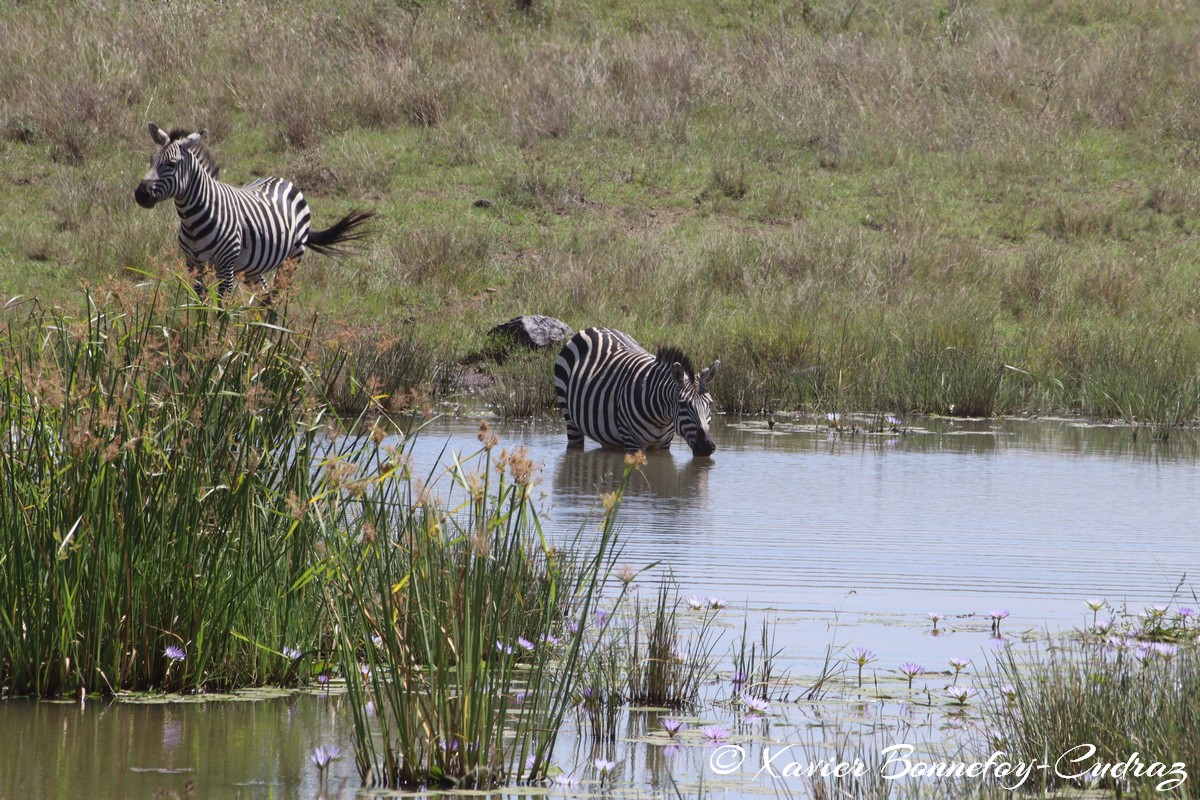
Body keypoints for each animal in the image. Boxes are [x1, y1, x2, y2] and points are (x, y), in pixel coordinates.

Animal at [134, 124, 373, 297]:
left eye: (172, 164)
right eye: (151, 160)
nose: (141, 194)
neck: (192, 220)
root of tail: (284, 180)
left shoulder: (226, 265)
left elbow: (221, 309)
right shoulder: (194, 264)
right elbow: (197, 306)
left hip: (292, 258)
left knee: (276, 299)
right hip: (252, 268)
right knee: (264, 294)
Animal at [554, 327, 720, 457]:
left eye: (710, 404)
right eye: (683, 404)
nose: (706, 447)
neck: (662, 417)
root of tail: (593, 328)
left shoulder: (664, 444)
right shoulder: (631, 441)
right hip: (570, 417)